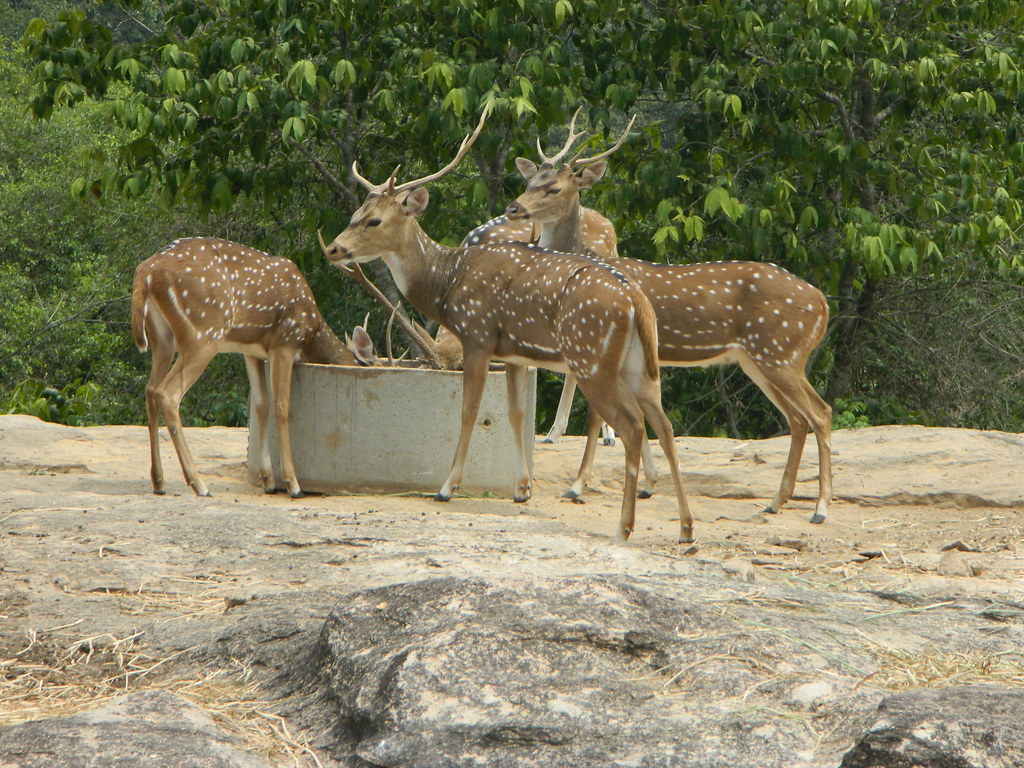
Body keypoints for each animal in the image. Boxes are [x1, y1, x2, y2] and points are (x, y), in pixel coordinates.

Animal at [131, 237, 378, 500]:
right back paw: (199, 483)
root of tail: (147, 270)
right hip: (204, 333)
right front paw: (293, 484)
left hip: (162, 340)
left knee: (150, 391)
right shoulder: (285, 344)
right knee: (167, 393)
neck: (311, 333)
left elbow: (261, 405)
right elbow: (281, 407)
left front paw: (267, 480)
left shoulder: (252, 351)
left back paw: (159, 481)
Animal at [318, 106, 695, 544]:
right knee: (664, 425)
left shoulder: (478, 336)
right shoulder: (514, 353)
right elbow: (515, 414)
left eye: (375, 221)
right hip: (638, 364)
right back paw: (685, 530)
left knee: (632, 426)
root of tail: (635, 300)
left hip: (592, 358)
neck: (447, 284)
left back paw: (622, 525)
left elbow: (468, 410)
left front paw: (447, 487)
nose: (334, 249)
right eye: (355, 215)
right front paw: (522, 489)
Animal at [471, 111, 834, 525]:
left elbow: (599, 418)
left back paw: (820, 508)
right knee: (798, 419)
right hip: (758, 359)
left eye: (555, 188)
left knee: (821, 413)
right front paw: (647, 483)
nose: (514, 208)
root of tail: (822, 303)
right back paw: (775, 502)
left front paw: (578, 486)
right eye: (530, 180)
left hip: (780, 352)